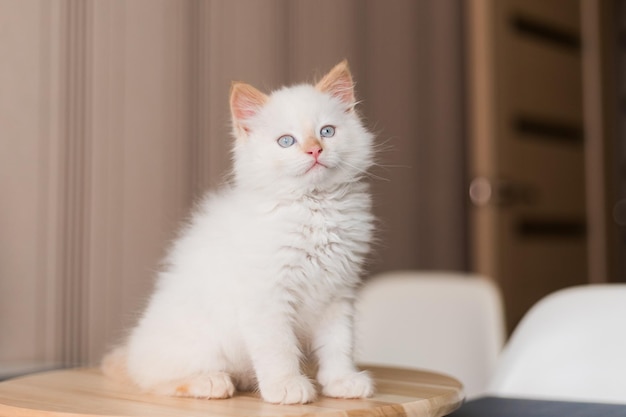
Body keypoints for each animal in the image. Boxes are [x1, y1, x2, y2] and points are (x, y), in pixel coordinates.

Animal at [103, 61, 376, 404]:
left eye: (327, 131)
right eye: (286, 141)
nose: (315, 150)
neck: (315, 206)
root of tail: (130, 351)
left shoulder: (338, 294)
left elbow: (339, 345)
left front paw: (342, 382)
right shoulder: (266, 298)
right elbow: (279, 349)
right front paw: (286, 387)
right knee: (155, 381)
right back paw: (211, 382)